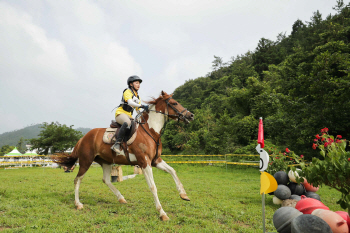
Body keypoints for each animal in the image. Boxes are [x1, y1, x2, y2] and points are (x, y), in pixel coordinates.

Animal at [51, 90, 194, 220]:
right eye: (175, 103)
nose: (191, 115)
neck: (150, 131)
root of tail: (83, 137)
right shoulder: (145, 162)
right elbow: (153, 187)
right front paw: (162, 213)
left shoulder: (155, 160)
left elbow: (172, 171)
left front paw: (184, 195)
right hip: (86, 161)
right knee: (77, 180)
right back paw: (78, 204)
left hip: (106, 162)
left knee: (106, 180)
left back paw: (121, 198)